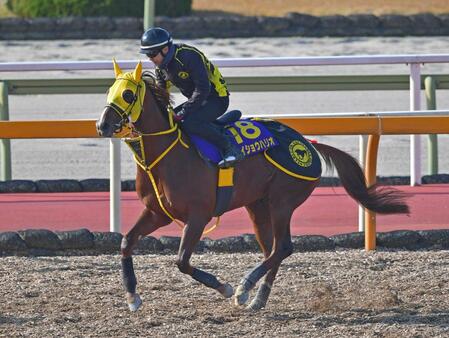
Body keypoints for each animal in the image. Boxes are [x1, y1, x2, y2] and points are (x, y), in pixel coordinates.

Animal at [96, 60, 408, 312]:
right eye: (109, 90)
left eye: (127, 94)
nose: (102, 125)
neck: (167, 156)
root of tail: (307, 143)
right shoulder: (157, 213)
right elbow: (126, 242)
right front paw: (132, 297)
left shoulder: (198, 216)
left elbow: (182, 261)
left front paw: (225, 288)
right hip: (257, 206)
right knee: (272, 250)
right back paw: (258, 298)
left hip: (283, 201)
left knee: (283, 247)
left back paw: (245, 288)